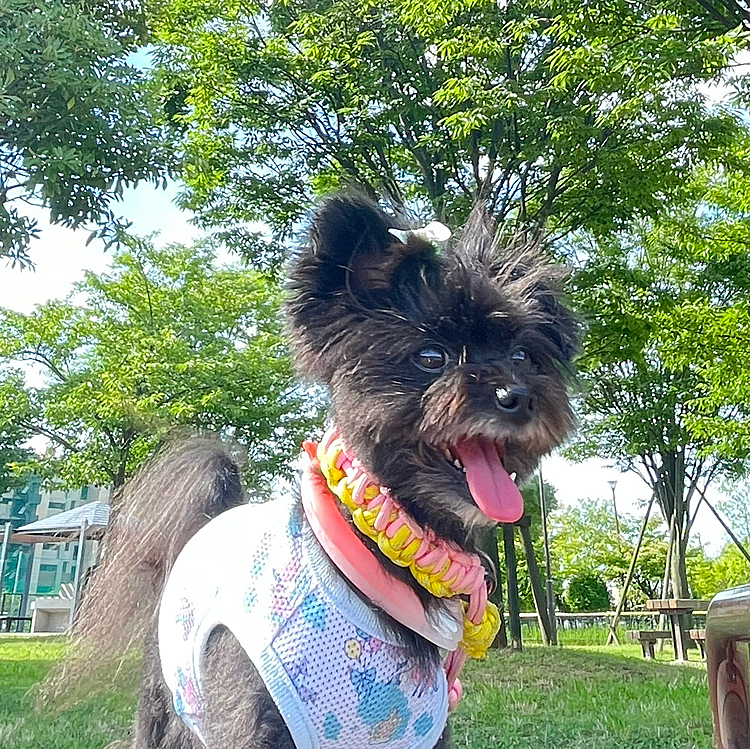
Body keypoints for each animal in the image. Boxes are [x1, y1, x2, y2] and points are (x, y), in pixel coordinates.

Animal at [55, 196, 580, 744]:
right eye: (430, 356)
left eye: (523, 355)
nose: (517, 395)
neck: (373, 552)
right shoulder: (250, 721)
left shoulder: (425, 731)